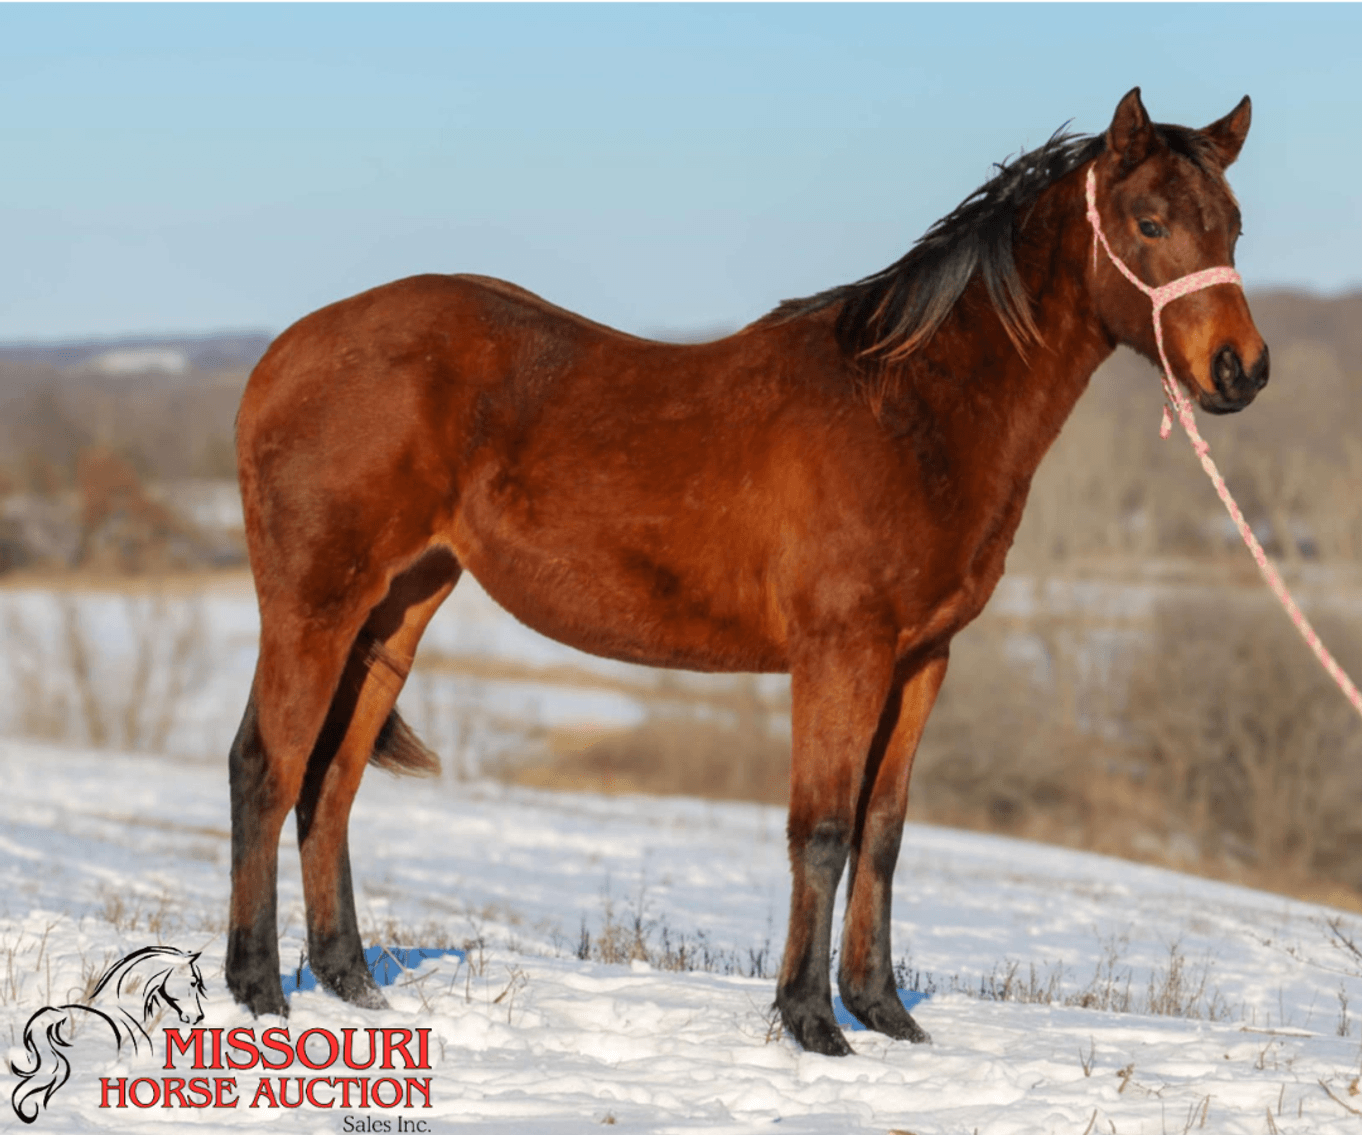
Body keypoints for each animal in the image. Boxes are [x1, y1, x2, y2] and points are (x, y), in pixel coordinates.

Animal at [226, 88, 1267, 1057]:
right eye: (1149, 223)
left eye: (1233, 225)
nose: (1240, 371)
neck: (907, 410)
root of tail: (281, 354)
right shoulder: (840, 652)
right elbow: (824, 829)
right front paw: (812, 1022)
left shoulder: (921, 660)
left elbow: (884, 832)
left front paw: (886, 1013)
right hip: (315, 606)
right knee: (266, 768)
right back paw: (259, 991)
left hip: (395, 611)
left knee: (331, 781)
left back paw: (354, 986)